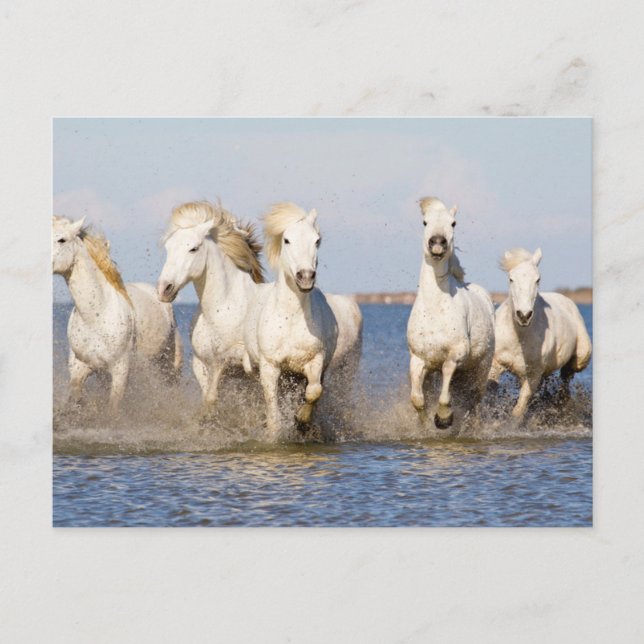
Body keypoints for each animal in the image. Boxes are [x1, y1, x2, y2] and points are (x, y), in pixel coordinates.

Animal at [52, 216, 183, 413]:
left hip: (168, 366)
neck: (96, 316)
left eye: (62, 240)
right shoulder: (79, 367)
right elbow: (75, 395)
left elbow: (113, 408)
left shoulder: (120, 370)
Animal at [157, 201, 265, 418]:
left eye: (193, 249)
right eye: (168, 248)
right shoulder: (201, 363)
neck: (222, 309)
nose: (164, 289)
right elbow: (209, 398)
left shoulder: (238, 362)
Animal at [244, 202, 360, 440]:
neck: (290, 319)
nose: (305, 277)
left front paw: (301, 420)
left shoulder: (314, 361)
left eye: (317, 240)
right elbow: (273, 411)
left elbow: (314, 392)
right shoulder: (270, 367)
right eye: (287, 240)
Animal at [406, 197, 495, 429]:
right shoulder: (418, 359)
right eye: (425, 222)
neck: (434, 310)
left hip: (481, 368)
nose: (438, 242)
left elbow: (446, 386)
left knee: (475, 399)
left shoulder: (456, 354)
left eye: (453, 223)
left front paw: (444, 417)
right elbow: (417, 399)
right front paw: (426, 423)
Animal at [488, 247, 592, 418]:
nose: (523, 315)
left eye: (537, 279)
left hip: (581, 357)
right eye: (511, 279)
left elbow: (518, 411)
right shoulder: (496, 364)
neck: (519, 338)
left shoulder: (533, 375)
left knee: (566, 378)